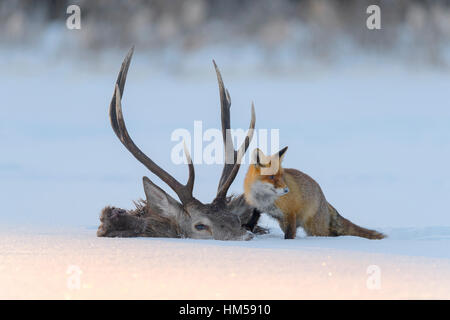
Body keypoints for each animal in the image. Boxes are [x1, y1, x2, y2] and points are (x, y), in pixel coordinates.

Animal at [244, 146, 384, 239]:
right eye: (272, 177)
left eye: (282, 176)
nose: (286, 190)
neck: (264, 198)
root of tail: (325, 199)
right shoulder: (258, 205)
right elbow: (254, 215)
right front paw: (248, 227)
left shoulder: (290, 213)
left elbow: (289, 235)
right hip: (285, 223)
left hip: (314, 228)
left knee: (329, 234)